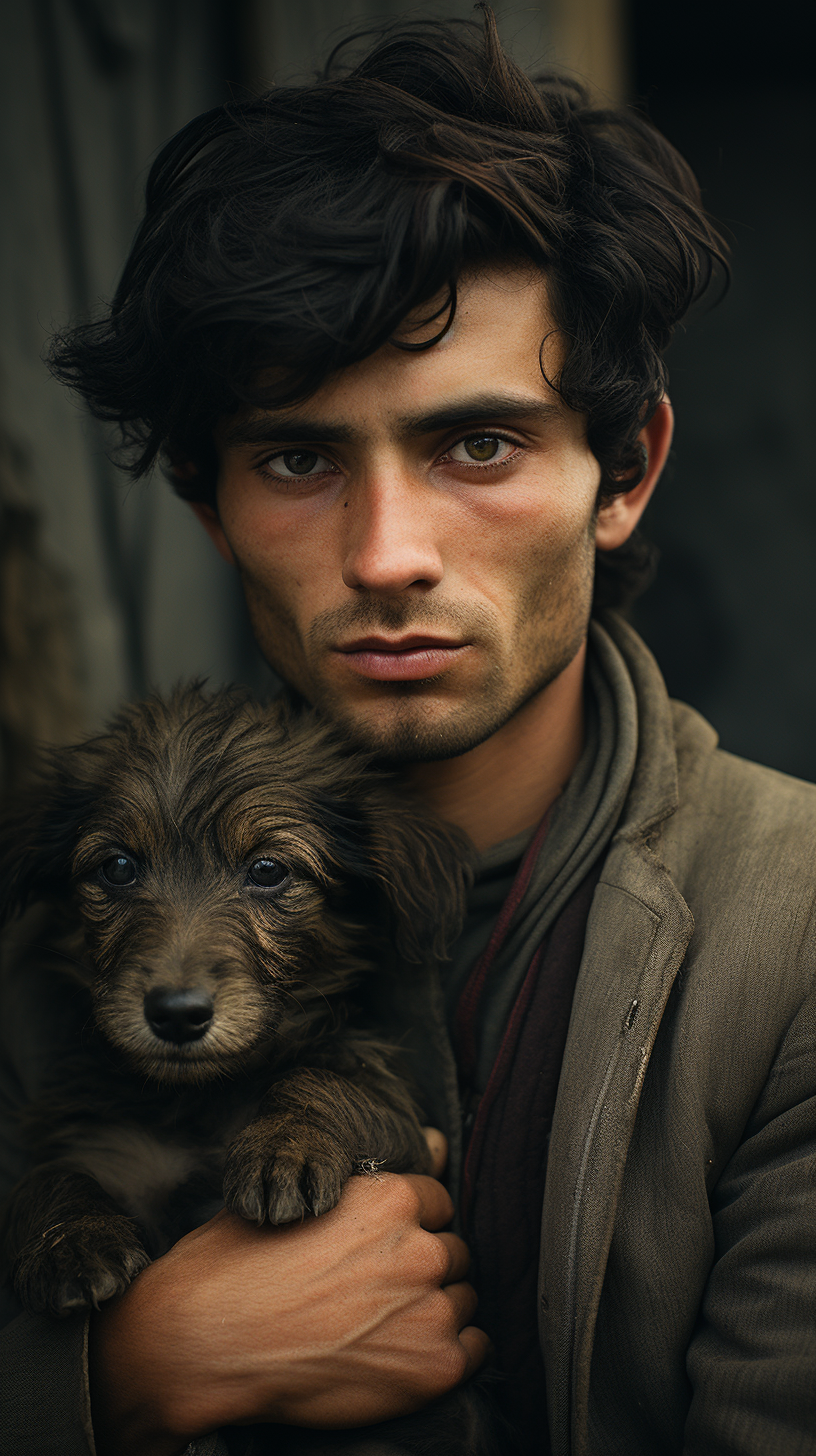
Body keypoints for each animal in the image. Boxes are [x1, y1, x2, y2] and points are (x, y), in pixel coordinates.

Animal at [1, 687, 510, 1456]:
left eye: (269, 870)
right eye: (116, 868)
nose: (177, 1014)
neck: (201, 1100)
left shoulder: (405, 1125)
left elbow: (320, 1081)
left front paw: (283, 1148)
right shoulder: (103, 1144)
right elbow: (48, 1174)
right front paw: (71, 1243)